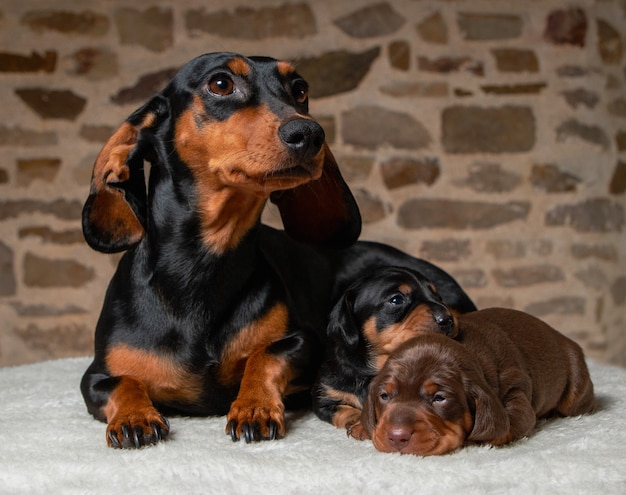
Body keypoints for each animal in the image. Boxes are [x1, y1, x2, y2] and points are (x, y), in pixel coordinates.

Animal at [312, 266, 464, 432]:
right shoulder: (324, 398)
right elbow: (343, 410)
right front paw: (358, 420)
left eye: (438, 296)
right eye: (396, 300)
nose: (448, 320)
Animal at [354, 310, 592, 458]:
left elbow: (512, 420)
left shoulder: (516, 389)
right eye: (385, 396)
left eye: (439, 398)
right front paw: (361, 425)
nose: (397, 437)